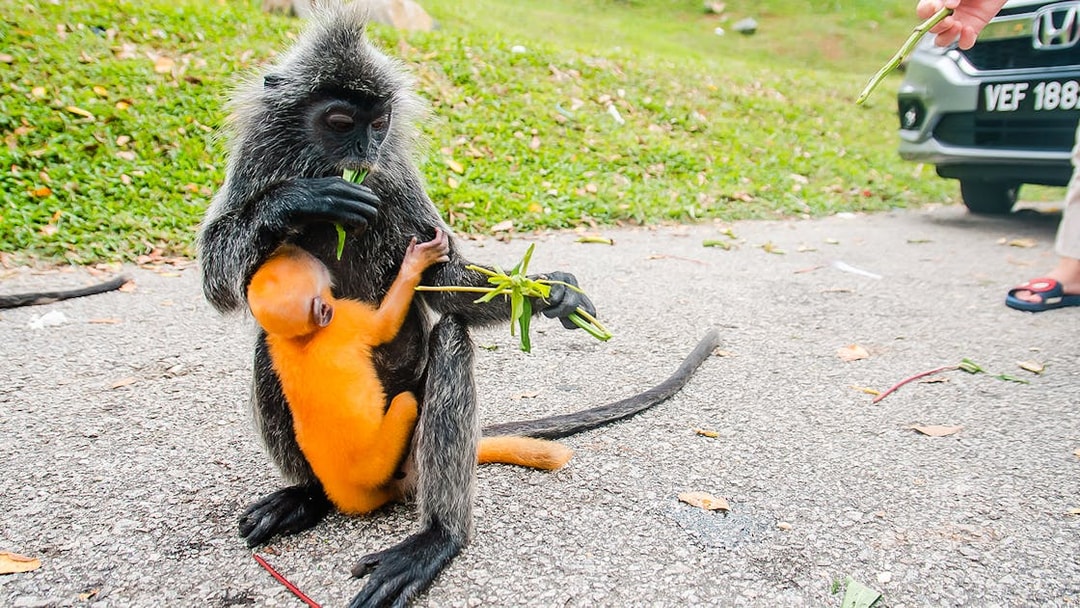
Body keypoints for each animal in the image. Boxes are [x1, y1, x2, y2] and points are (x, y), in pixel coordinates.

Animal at [245, 229, 572, 515]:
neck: (302, 338)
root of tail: (347, 494)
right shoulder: (348, 318)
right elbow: (385, 324)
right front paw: (415, 262)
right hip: (382, 459)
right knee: (416, 387)